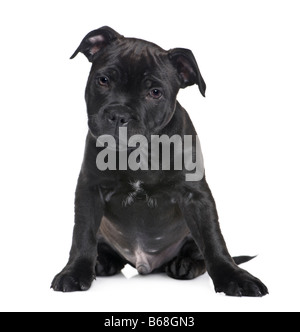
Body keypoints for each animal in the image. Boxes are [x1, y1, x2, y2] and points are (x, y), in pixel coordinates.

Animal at [50, 26, 268, 296]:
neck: (138, 152)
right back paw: (102, 262)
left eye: (155, 93)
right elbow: (82, 234)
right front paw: (75, 272)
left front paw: (234, 277)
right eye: (103, 80)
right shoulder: (89, 189)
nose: (119, 115)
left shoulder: (196, 196)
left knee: (198, 254)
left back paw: (185, 264)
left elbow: (213, 240)